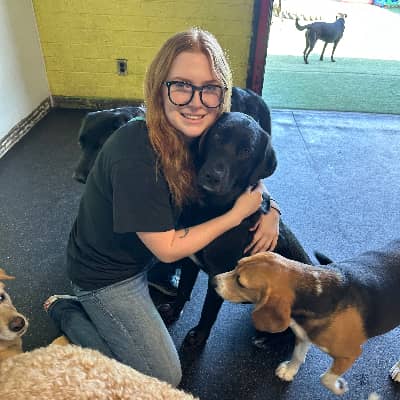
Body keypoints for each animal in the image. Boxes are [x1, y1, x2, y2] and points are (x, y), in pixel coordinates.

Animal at [213, 241, 400, 395]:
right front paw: (289, 371)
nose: (213, 281)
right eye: (237, 264)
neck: (317, 293)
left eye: (240, 282)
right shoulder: (302, 334)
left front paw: (339, 387)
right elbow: (297, 356)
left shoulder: (350, 354)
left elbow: (325, 378)